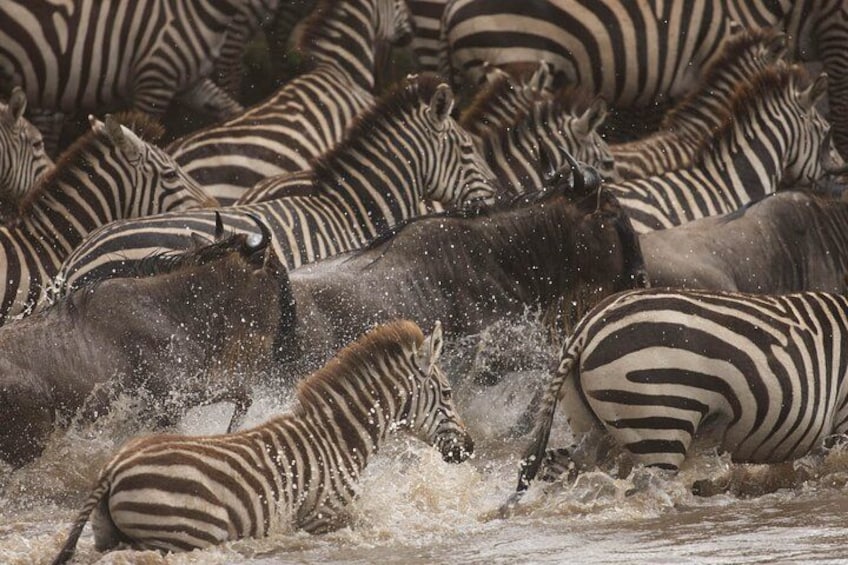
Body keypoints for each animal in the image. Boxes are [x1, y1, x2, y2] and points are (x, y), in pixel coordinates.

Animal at [51, 320, 473, 562]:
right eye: (448, 393)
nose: (469, 448)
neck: (338, 439)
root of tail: (113, 466)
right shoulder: (326, 518)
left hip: (109, 534)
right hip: (190, 531)